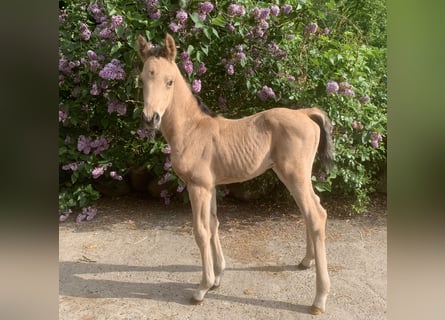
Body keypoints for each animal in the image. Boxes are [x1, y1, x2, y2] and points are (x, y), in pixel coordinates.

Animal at [137, 33, 332, 316]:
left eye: (169, 81)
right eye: (142, 79)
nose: (150, 118)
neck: (192, 130)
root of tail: (305, 113)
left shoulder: (197, 187)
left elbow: (200, 231)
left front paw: (202, 288)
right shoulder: (211, 186)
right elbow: (214, 224)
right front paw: (218, 277)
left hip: (294, 175)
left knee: (316, 215)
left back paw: (319, 299)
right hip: (298, 178)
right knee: (312, 211)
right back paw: (306, 261)